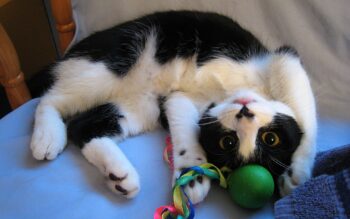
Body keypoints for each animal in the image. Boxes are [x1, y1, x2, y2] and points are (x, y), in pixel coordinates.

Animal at [30, 11, 316, 204]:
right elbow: (305, 114)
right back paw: (47, 136)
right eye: (229, 141)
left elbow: (183, 121)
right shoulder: (283, 57)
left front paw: (191, 172)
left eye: (270, 138)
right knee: (51, 98)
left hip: (142, 106)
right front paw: (298, 173)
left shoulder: (178, 99)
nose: (245, 112)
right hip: (111, 62)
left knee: (83, 126)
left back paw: (119, 176)